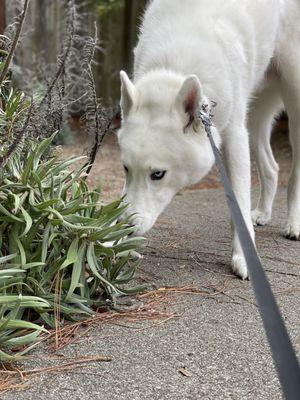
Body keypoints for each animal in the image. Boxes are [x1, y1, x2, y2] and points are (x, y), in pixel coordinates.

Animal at [115, 0, 300, 280]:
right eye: (126, 169)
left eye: (158, 174)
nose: (125, 227)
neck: (177, 65)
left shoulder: (234, 137)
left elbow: (240, 203)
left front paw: (244, 258)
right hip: (254, 120)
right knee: (272, 167)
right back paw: (263, 214)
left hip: (293, 107)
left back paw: (293, 224)